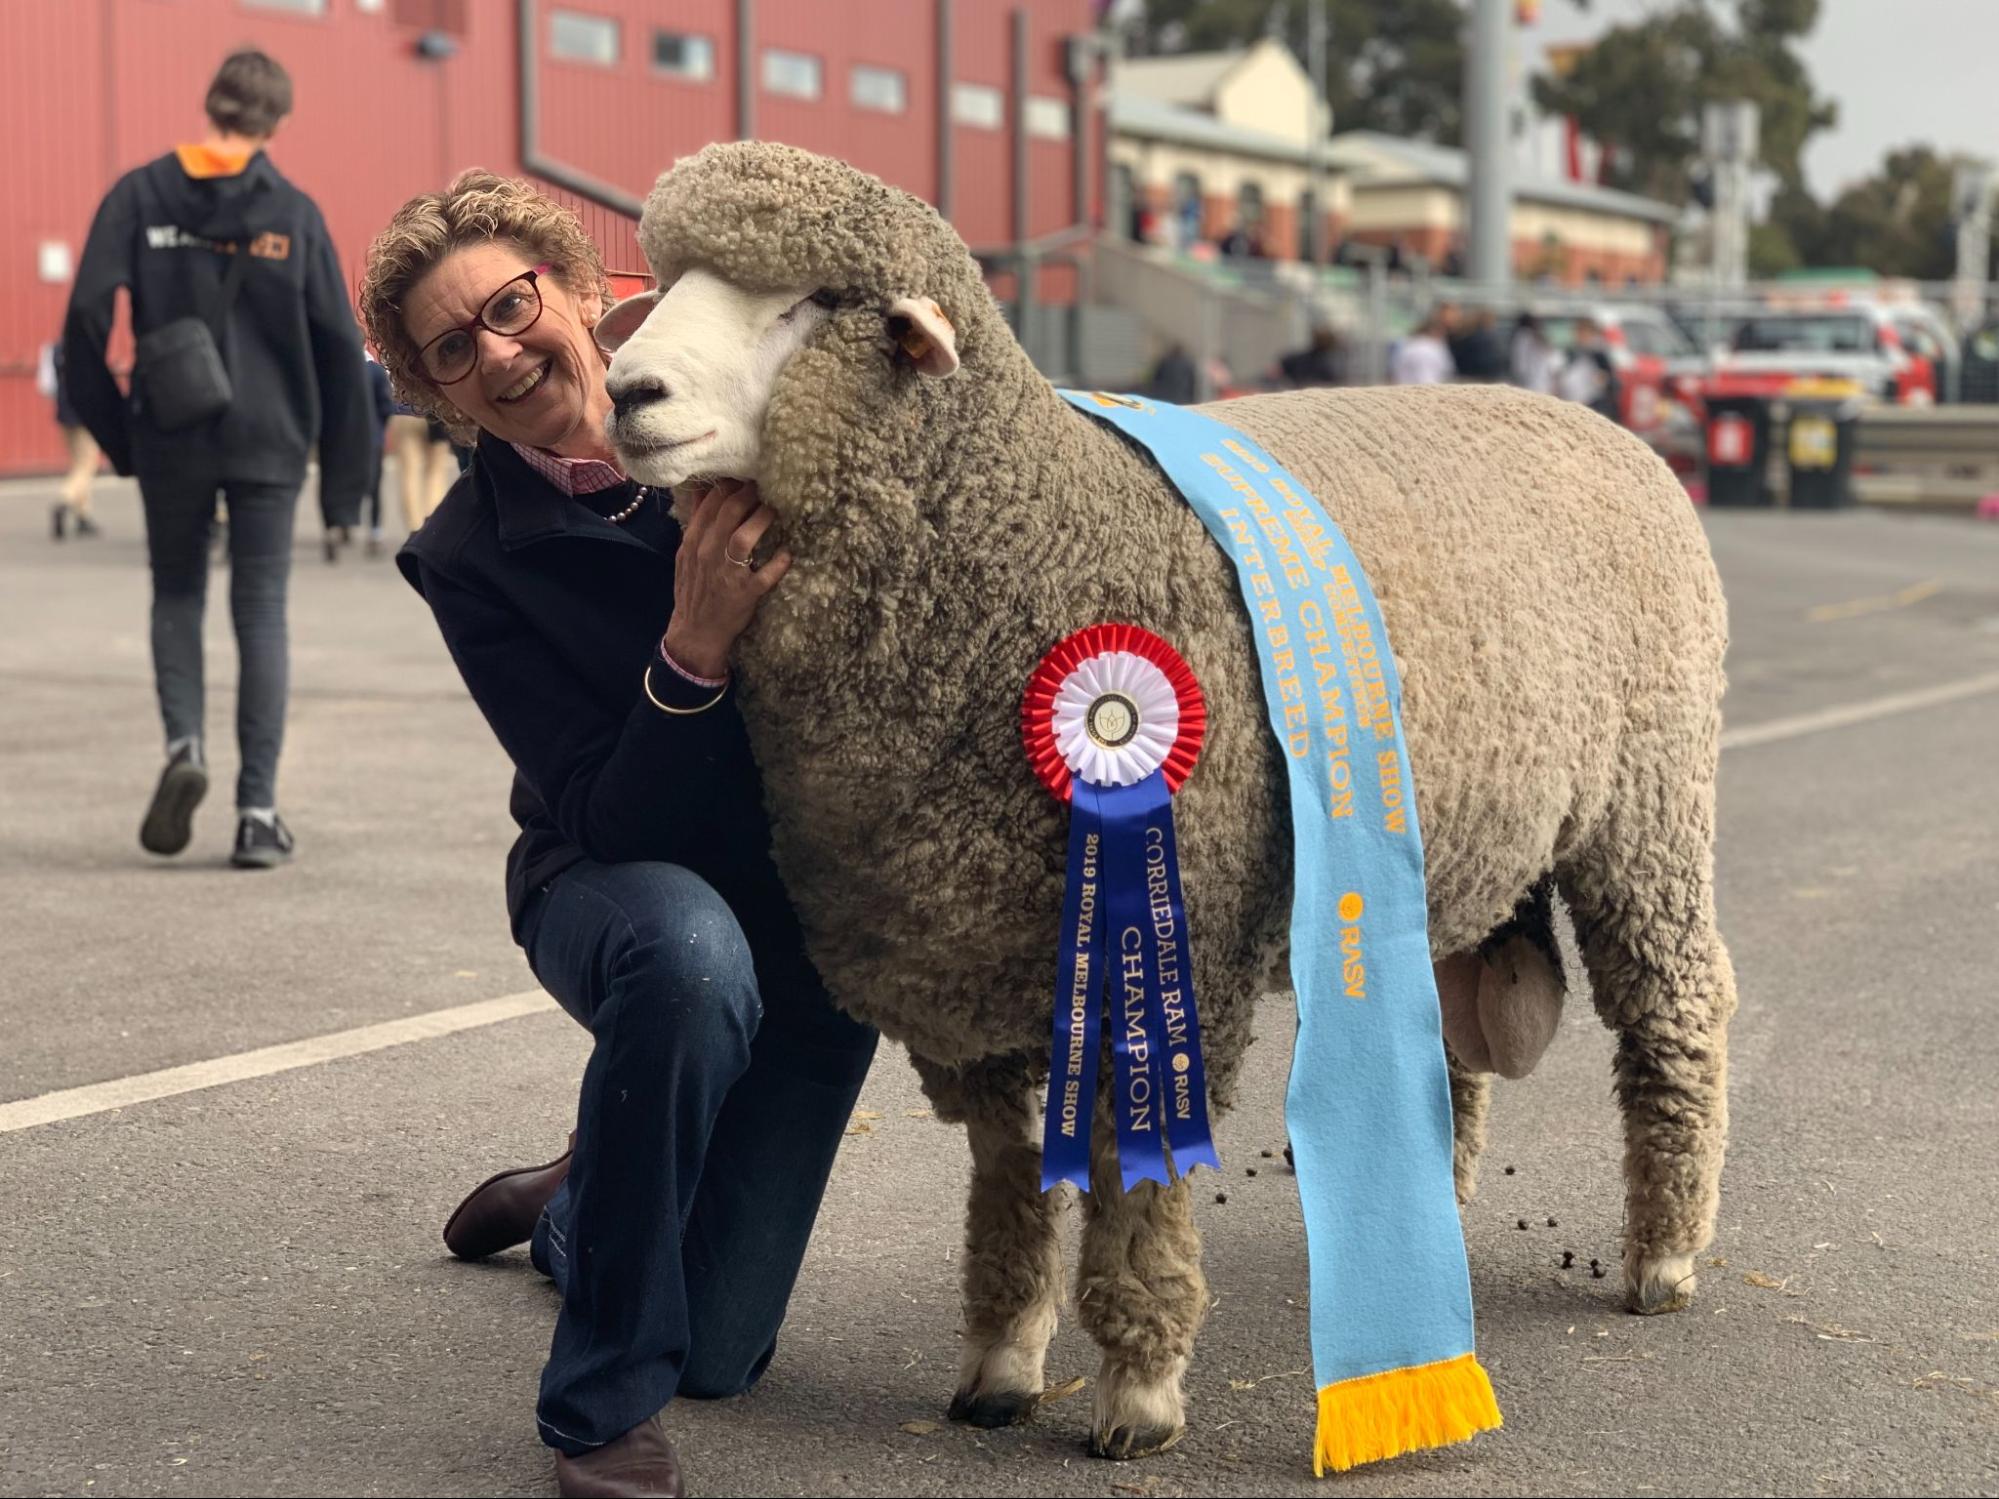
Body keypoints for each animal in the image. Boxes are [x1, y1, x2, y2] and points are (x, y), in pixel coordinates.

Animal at [591, 143, 1735, 1471]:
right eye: (670, 283)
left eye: (815, 302)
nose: (627, 390)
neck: (1031, 541)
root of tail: (1606, 428)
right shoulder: (973, 941)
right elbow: (1008, 1169)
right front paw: (1000, 1358)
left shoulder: (1168, 937)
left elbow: (1135, 1172)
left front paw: (1137, 1390)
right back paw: (1434, 1208)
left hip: (1650, 802)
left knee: (1676, 1006)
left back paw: (1665, 1254)